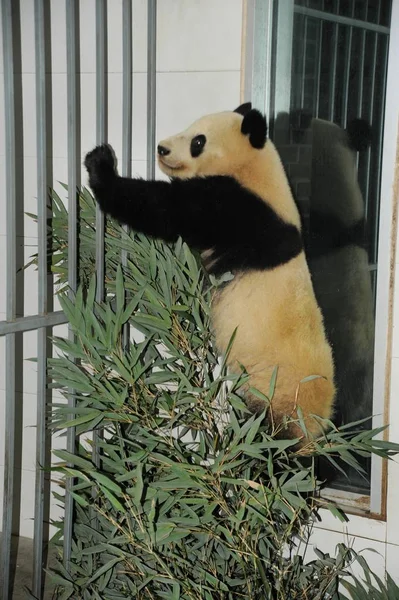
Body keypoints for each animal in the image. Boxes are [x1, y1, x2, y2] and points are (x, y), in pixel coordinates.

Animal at [85, 103, 338, 440]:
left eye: (198, 141)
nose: (162, 148)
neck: (255, 168)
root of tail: (318, 425)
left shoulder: (239, 209)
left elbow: (167, 210)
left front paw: (100, 164)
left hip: (279, 395)